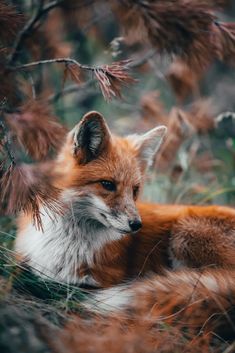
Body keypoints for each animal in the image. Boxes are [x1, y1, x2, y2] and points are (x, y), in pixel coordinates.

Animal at [14, 111, 235, 350]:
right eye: (107, 184)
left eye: (135, 190)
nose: (137, 224)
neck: (64, 243)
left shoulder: (98, 280)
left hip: (184, 234)